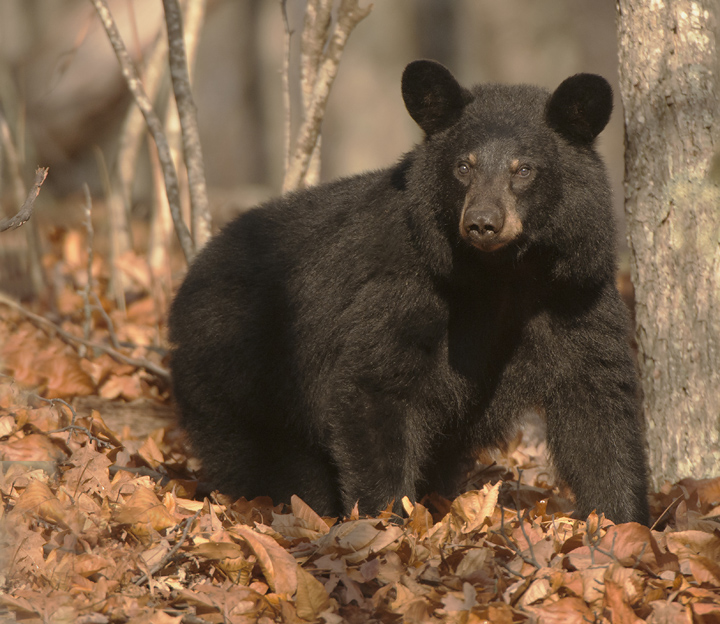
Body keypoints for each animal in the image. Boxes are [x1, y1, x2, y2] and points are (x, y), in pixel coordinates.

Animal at [168, 60, 649, 526]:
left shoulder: (574, 292)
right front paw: (386, 524)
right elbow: (376, 386)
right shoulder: (406, 288)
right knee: (273, 467)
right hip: (243, 378)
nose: (482, 223)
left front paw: (619, 522)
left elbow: (598, 403)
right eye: (463, 166)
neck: (501, 273)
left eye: (524, 169)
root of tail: (187, 285)